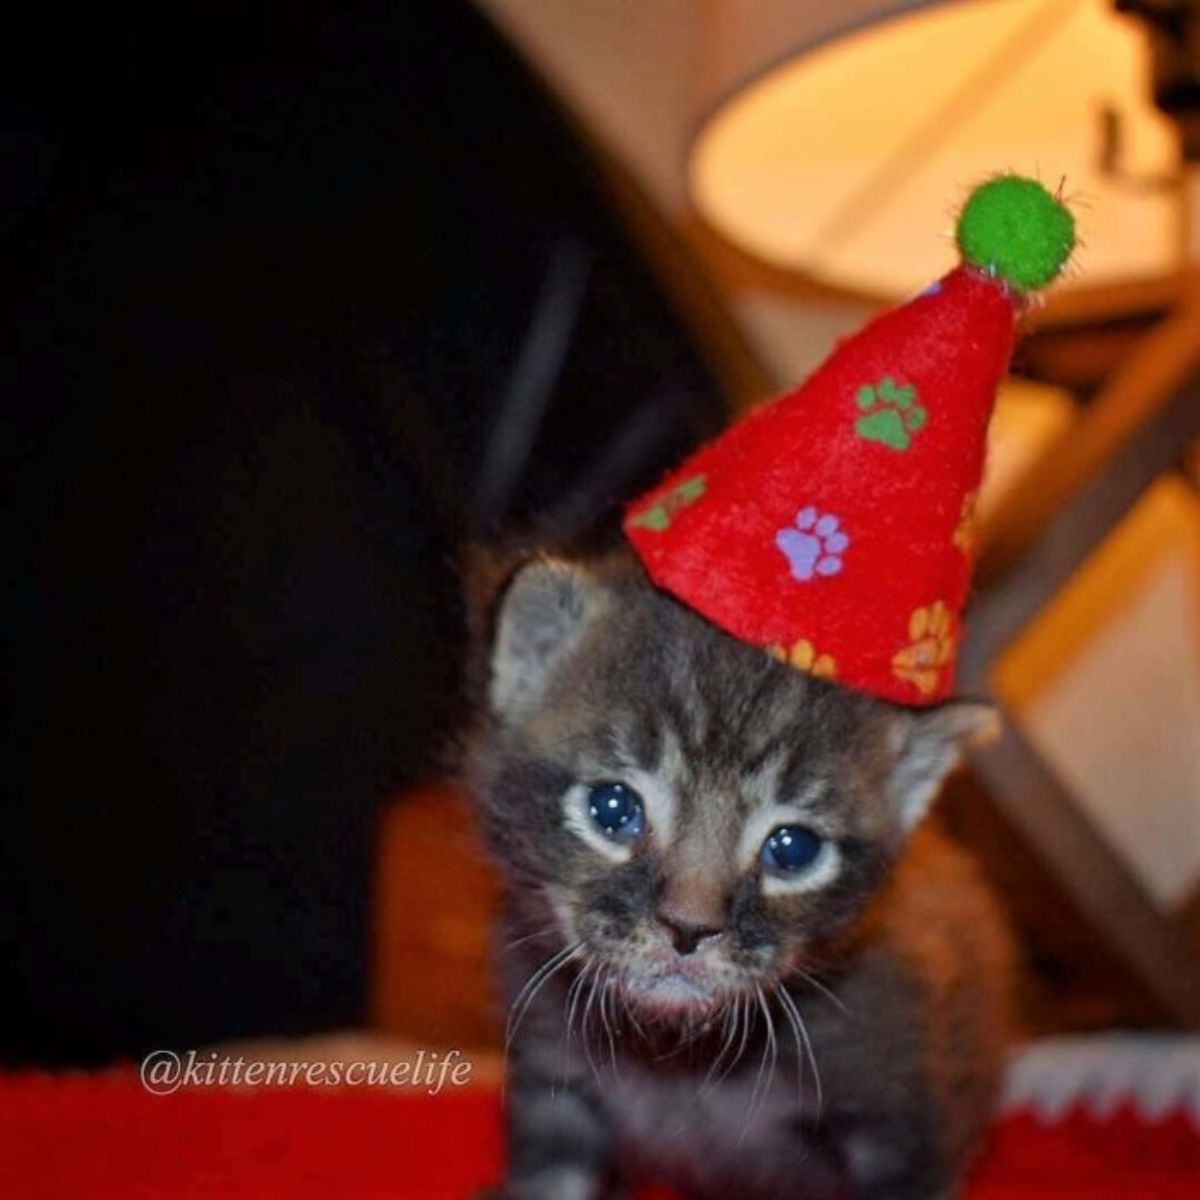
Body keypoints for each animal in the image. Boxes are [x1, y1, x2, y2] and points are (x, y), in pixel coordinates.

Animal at [468, 552, 1012, 1200]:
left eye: (793, 849)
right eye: (613, 808)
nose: (688, 928)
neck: (676, 1057)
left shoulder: (905, 1120)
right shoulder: (555, 1088)